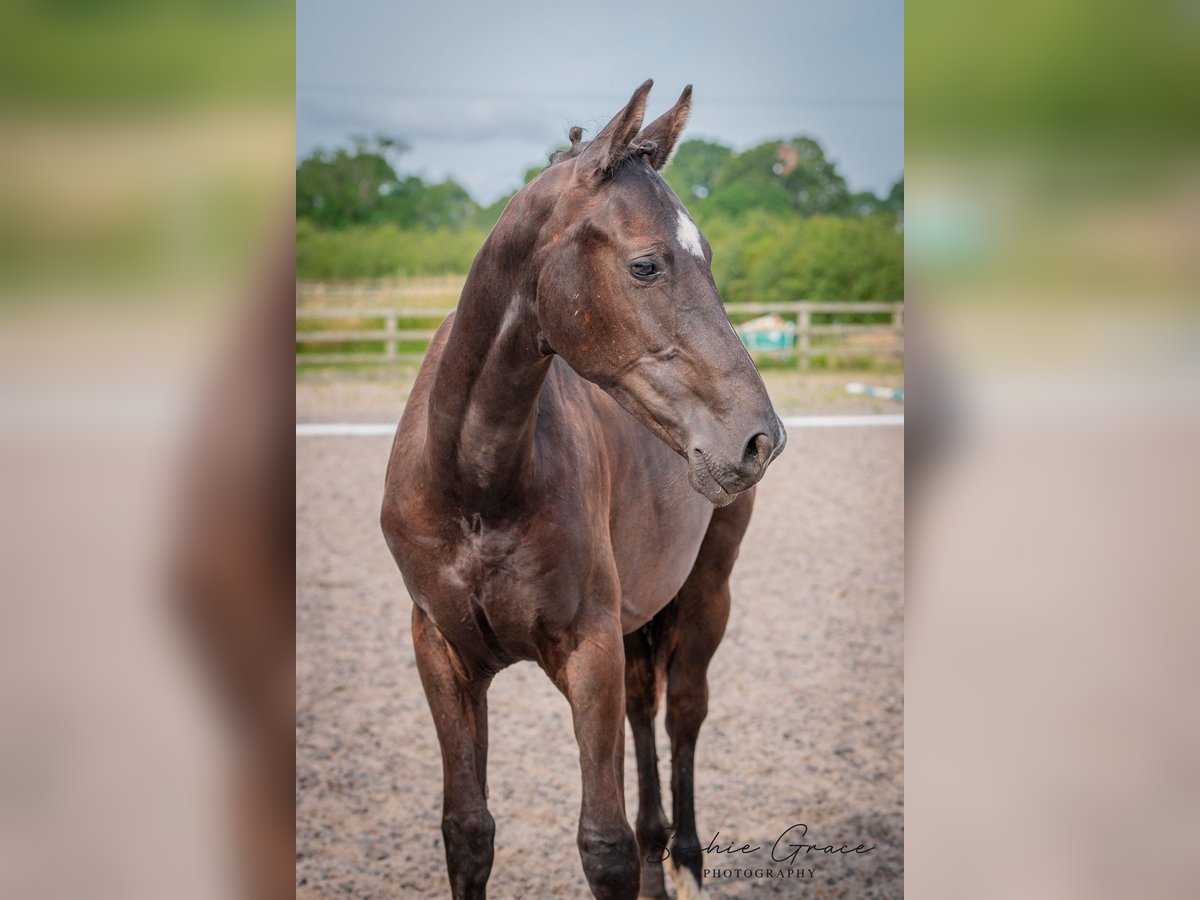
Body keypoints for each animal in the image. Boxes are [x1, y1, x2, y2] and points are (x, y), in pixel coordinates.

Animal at [379, 81, 782, 897]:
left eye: (709, 256)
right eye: (647, 265)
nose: (760, 439)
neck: (477, 486)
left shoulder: (587, 652)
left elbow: (604, 843)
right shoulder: (441, 651)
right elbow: (467, 831)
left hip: (707, 593)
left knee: (682, 713)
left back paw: (687, 862)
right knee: (645, 715)